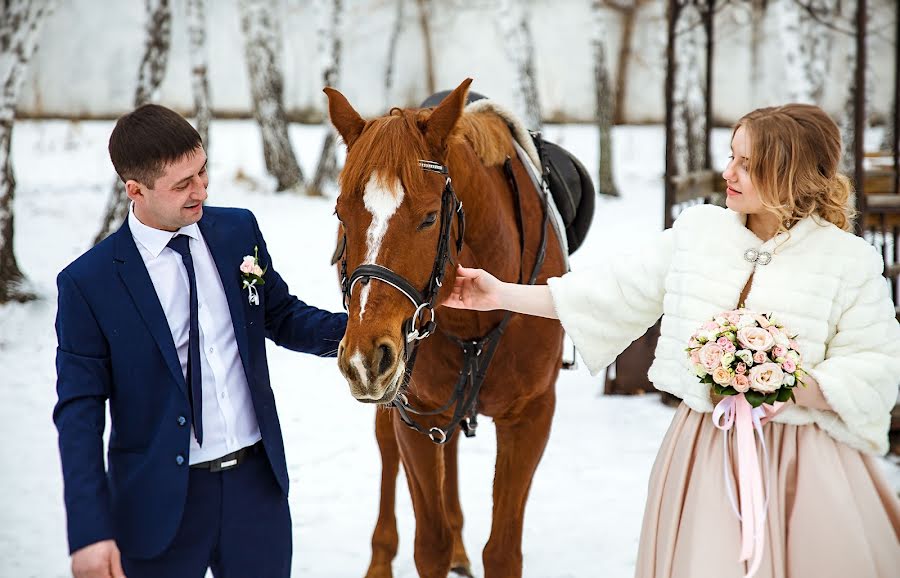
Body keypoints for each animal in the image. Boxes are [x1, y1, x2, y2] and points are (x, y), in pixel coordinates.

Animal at [324, 77, 564, 576]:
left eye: (431, 217)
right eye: (341, 213)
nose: (365, 359)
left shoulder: (531, 417)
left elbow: (503, 552)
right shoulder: (413, 408)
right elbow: (428, 545)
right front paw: (436, 545)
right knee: (390, 449)